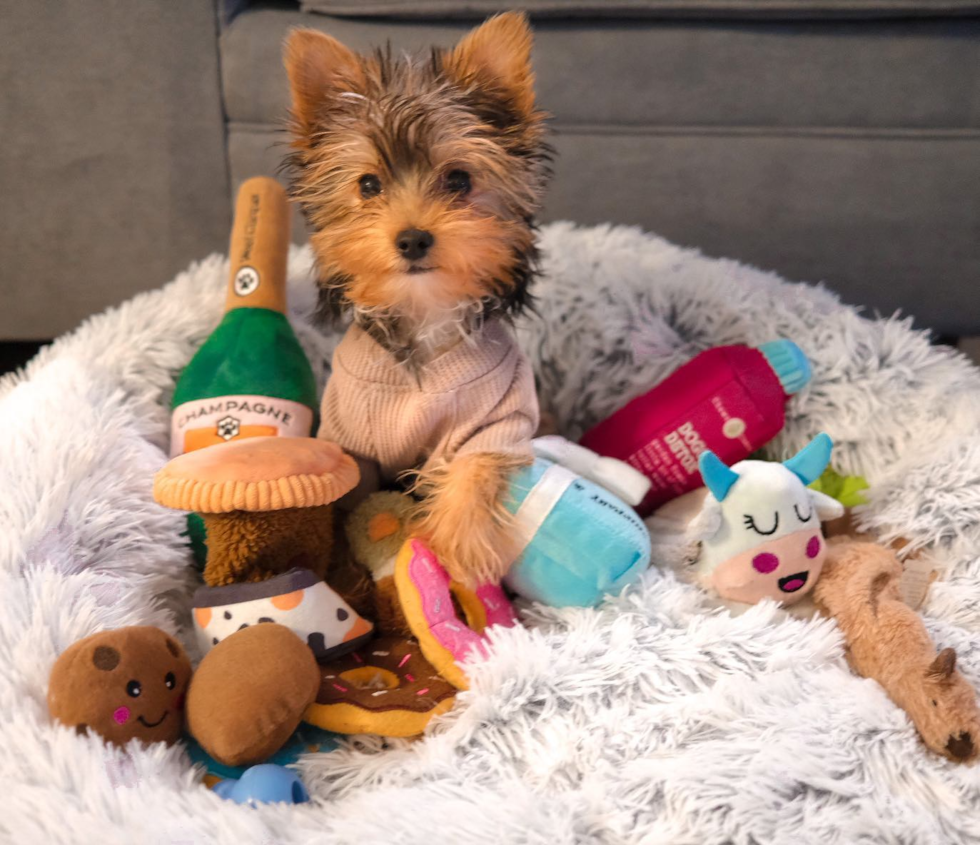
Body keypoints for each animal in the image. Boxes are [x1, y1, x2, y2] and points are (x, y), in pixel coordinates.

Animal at [284, 11, 552, 588]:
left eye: (458, 179)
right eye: (368, 185)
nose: (411, 239)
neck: (424, 310)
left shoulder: (496, 420)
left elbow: (473, 469)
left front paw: (459, 549)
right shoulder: (350, 441)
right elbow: (347, 501)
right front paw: (344, 573)